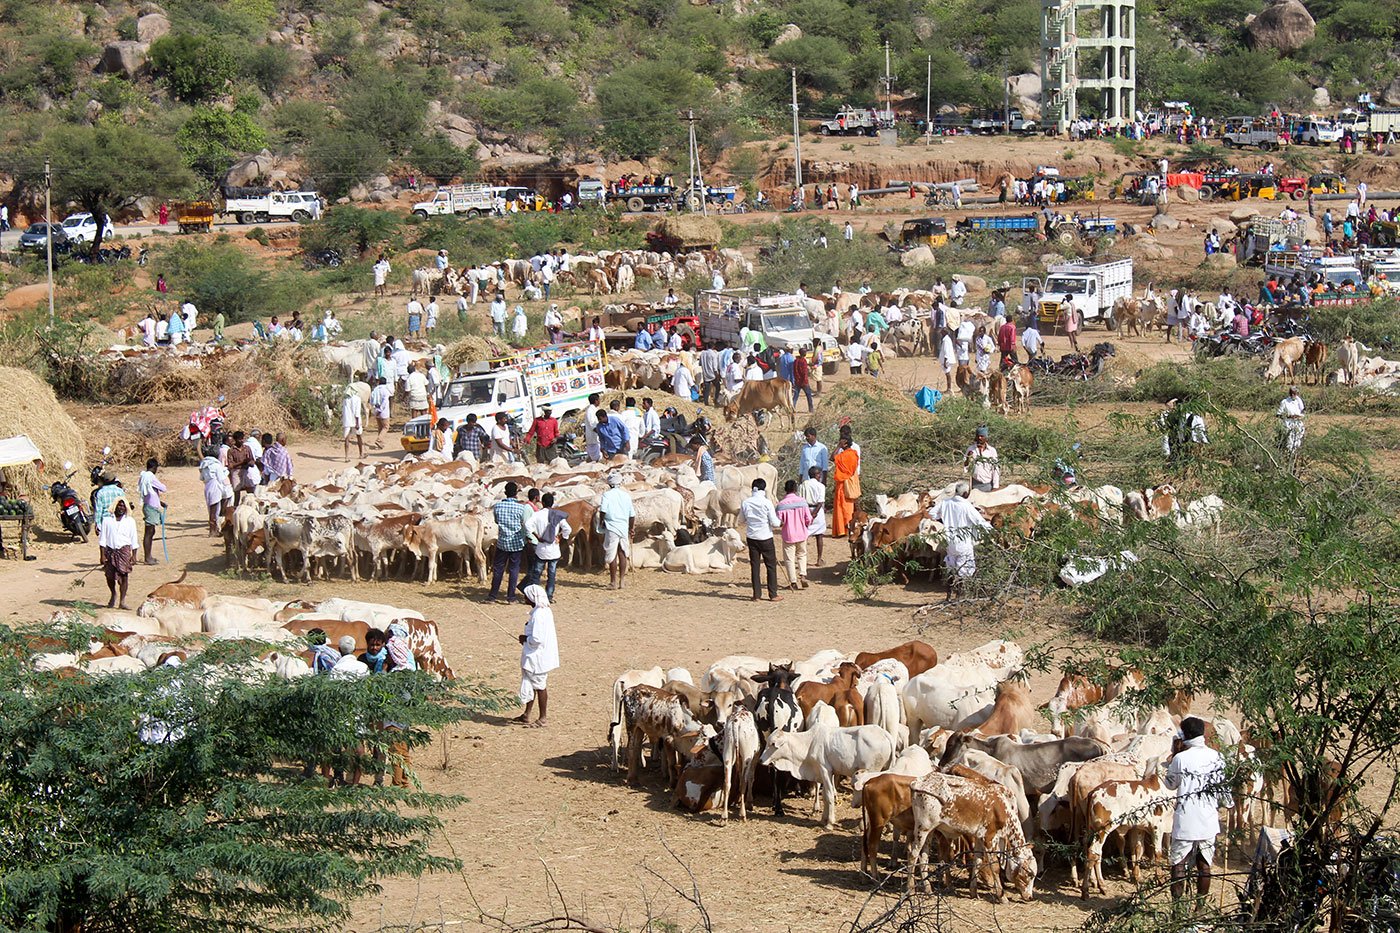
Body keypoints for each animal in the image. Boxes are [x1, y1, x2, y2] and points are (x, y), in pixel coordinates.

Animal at [907, 767, 1041, 896]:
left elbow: (977, 861)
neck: (1003, 809)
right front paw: (1001, 896)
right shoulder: (989, 838)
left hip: (930, 831)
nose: (1029, 897)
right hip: (922, 828)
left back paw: (928, 889)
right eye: (1029, 874)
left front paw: (973, 891)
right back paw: (910, 889)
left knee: (924, 857)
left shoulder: (979, 838)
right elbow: (994, 867)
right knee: (913, 854)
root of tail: (918, 781)